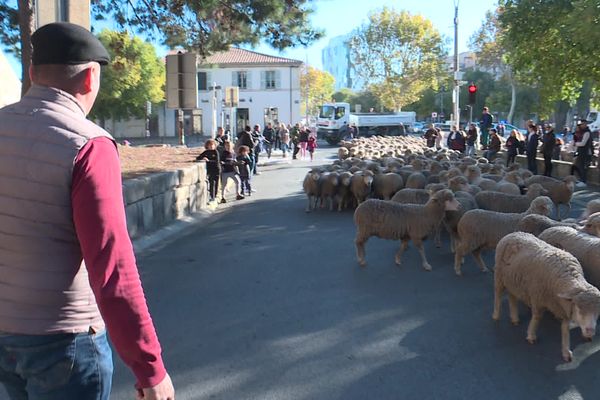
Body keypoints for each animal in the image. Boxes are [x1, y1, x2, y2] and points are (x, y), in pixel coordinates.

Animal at [492, 231, 600, 362]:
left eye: (598, 311)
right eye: (579, 309)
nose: (590, 331)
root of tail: (514, 233)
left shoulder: (563, 307)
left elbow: (565, 329)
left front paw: (566, 352)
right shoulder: (538, 298)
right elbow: (537, 318)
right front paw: (531, 336)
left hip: (512, 281)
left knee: (512, 297)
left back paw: (515, 319)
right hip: (499, 276)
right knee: (497, 295)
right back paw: (496, 315)